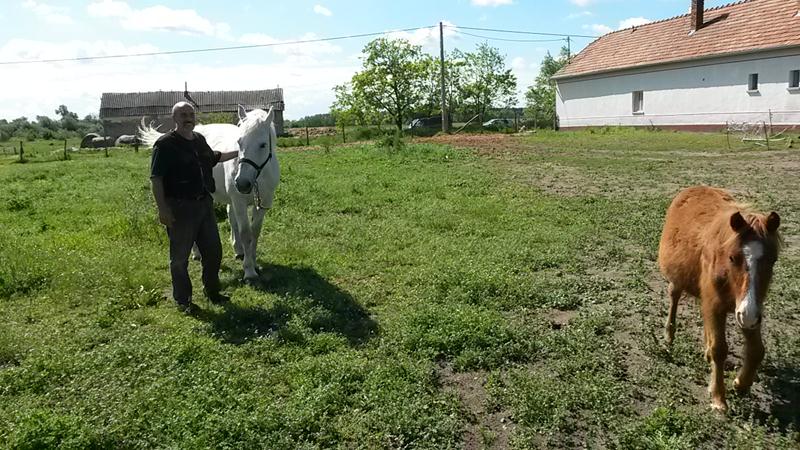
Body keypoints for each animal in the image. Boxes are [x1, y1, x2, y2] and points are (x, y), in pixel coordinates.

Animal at [657, 186, 781, 412]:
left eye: (773, 260)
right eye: (733, 257)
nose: (748, 315)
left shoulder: (747, 309)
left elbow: (757, 350)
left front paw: (741, 384)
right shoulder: (720, 305)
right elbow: (719, 349)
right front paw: (718, 398)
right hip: (679, 282)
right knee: (674, 298)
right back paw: (669, 336)